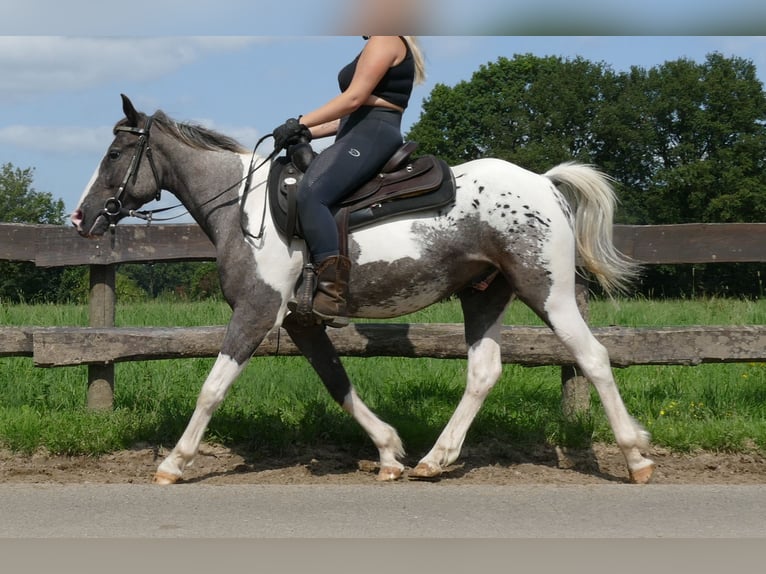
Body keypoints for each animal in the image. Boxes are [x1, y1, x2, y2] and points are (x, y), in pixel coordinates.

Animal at [70, 94, 656, 486]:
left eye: (115, 155)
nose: (81, 217)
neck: (244, 207)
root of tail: (545, 183)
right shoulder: (301, 321)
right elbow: (338, 383)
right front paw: (390, 452)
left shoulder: (257, 311)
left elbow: (212, 388)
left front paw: (174, 462)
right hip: (484, 294)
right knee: (484, 371)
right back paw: (434, 459)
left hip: (546, 290)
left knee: (593, 357)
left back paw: (636, 457)